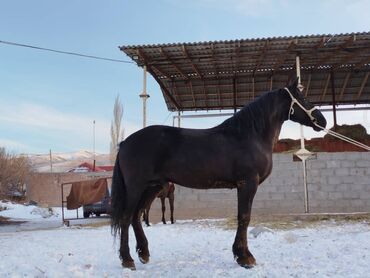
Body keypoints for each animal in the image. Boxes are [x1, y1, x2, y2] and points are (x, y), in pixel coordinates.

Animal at [110, 79, 326, 270]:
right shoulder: (247, 182)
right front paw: (244, 257)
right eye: (303, 98)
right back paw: (127, 260)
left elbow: (243, 217)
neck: (249, 136)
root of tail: (125, 143)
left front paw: (242, 255)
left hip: (153, 187)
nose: (322, 120)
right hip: (136, 187)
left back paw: (143, 254)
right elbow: (244, 217)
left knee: (136, 216)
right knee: (126, 217)